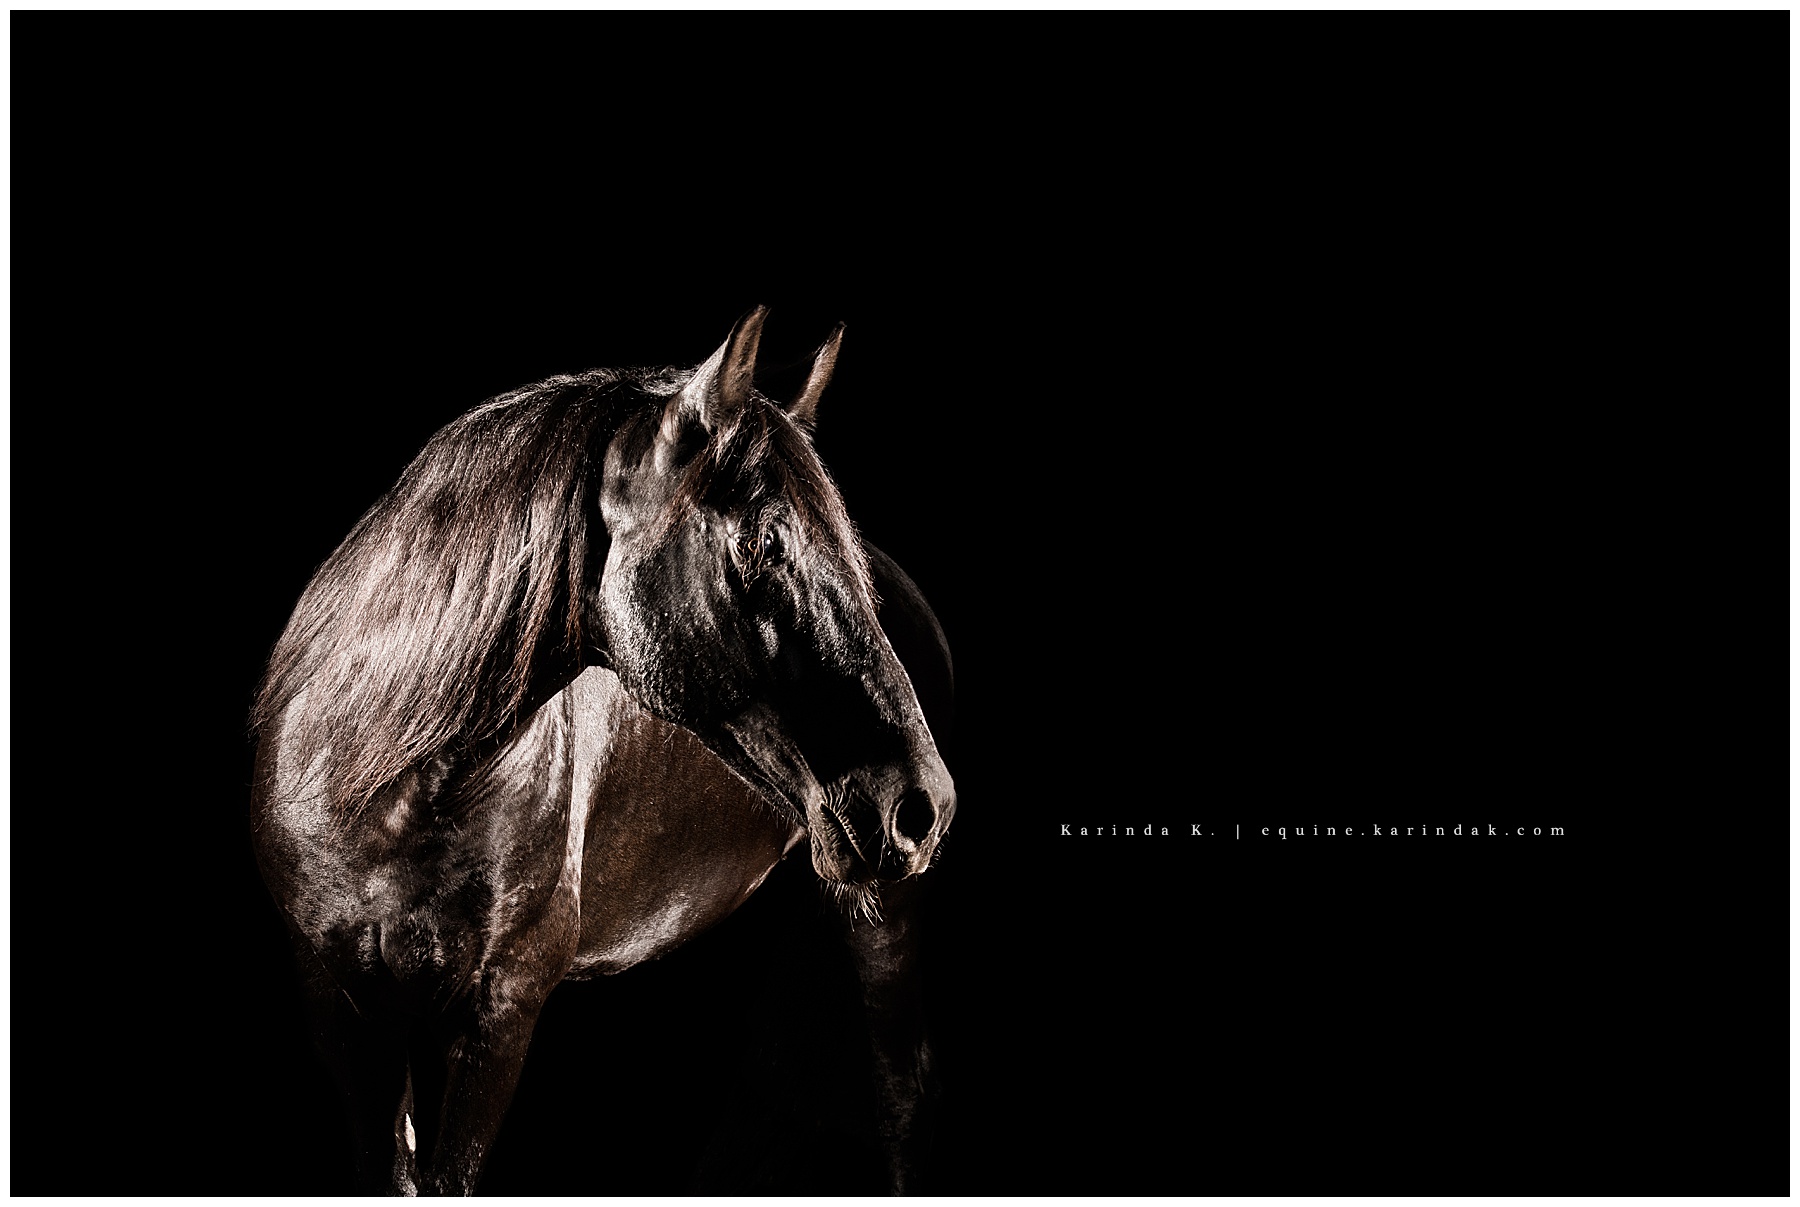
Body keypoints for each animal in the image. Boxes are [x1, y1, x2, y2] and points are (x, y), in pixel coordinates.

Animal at [249, 307, 956, 1195]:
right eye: (763, 543)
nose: (922, 806)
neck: (380, 784)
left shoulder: (502, 1009)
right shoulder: (343, 1012)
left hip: (886, 917)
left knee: (899, 1096)